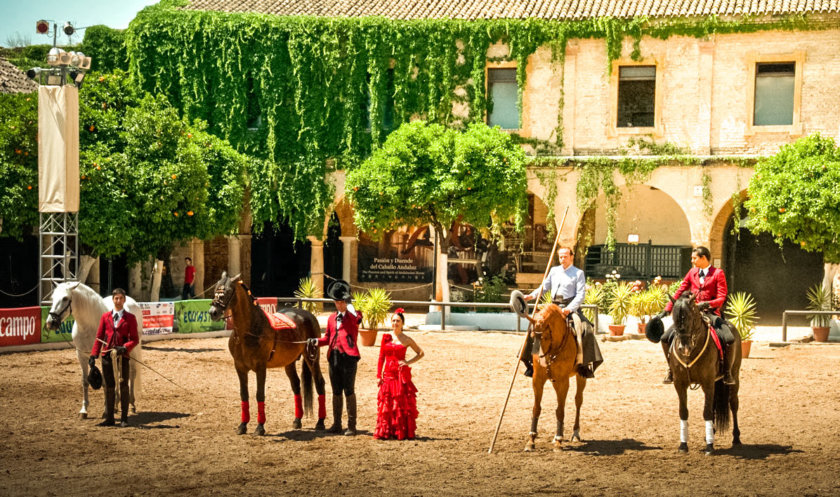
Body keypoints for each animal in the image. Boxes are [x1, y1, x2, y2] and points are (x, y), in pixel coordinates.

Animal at [46, 280, 144, 416]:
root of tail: (132, 302)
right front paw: (84, 409)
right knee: (117, 374)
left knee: (132, 374)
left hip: (133, 350)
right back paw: (116, 404)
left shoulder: (102, 356)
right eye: (53, 298)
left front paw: (106, 410)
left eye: (65, 298)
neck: (88, 326)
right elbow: (85, 381)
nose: (51, 323)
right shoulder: (81, 355)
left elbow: (105, 382)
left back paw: (132, 404)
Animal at [208, 272, 326, 434]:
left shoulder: (260, 367)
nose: (213, 312)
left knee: (319, 382)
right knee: (296, 385)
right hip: (289, 362)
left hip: (312, 358)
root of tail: (309, 315)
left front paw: (260, 427)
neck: (248, 331)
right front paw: (242, 425)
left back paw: (320, 422)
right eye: (215, 290)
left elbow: (259, 394)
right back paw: (297, 420)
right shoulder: (240, 367)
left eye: (227, 291)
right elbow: (244, 394)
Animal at [520, 302, 588, 450]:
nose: (542, 361)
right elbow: (536, 408)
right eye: (532, 336)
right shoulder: (538, 379)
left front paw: (559, 441)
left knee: (578, 400)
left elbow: (560, 410)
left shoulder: (563, 381)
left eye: (545, 337)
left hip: (580, 377)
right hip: (554, 380)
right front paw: (531, 440)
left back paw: (575, 434)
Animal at [668, 292, 740, 456]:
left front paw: (709, 447)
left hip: (734, 376)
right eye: (674, 318)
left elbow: (706, 412)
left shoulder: (707, 382)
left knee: (733, 404)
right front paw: (683, 445)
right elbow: (683, 412)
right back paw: (710, 433)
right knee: (713, 405)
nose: (684, 347)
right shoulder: (679, 384)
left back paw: (736, 438)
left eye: (691, 317)